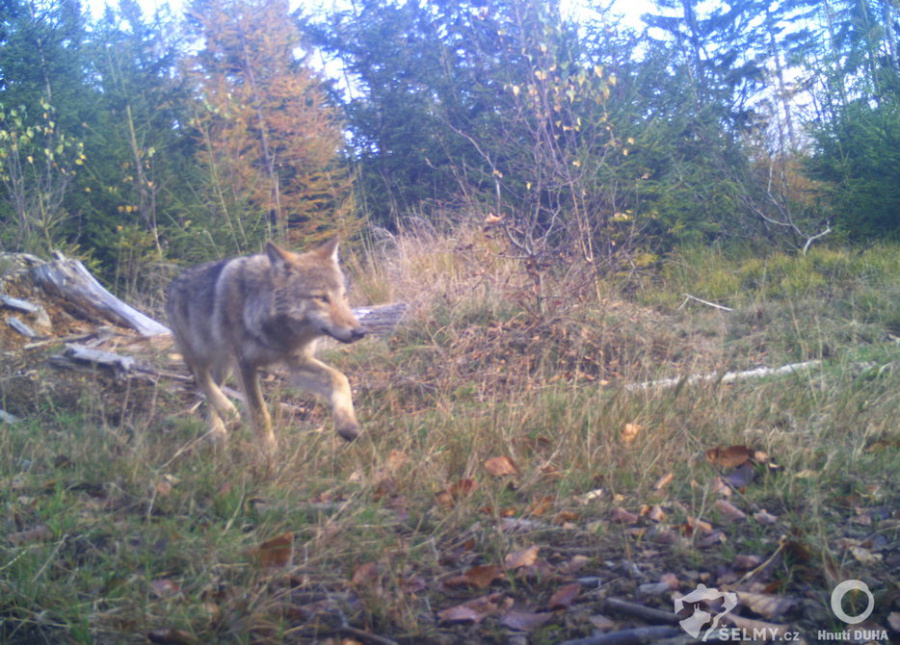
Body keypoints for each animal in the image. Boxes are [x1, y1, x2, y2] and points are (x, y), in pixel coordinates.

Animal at [165, 236, 366, 452]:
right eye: (320, 298)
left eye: (343, 296)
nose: (360, 332)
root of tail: (174, 284)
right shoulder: (245, 364)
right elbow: (260, 412)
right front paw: (269, 453)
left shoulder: (297, 361)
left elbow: (340, 378)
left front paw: (348, 425)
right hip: (202, 352)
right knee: (199, 378)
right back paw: (228, 412)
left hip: (225, 365)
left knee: (210, 392)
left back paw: (219, 432)